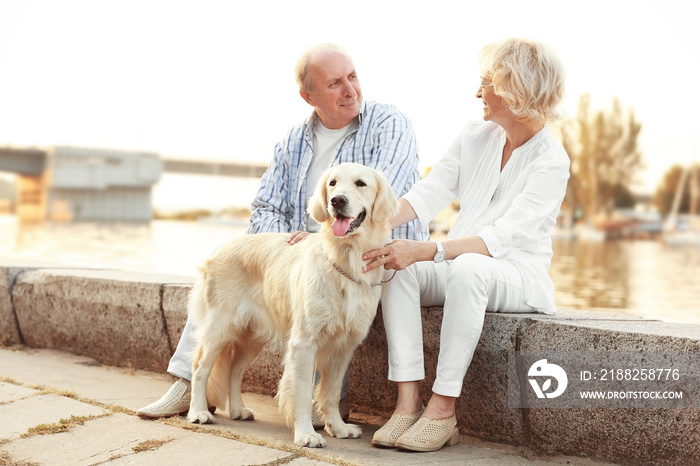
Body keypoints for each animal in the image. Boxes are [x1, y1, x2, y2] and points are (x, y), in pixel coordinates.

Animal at [186, 162, 396, 446]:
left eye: (360, 183)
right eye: (332, 183)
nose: (337, 201)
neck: (345, 257)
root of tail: (222, 248)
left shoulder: (344, 346)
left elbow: (330, 393)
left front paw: (339, 428)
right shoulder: (305, 343)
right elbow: (304, 392)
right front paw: (306, 434)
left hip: (251, 336)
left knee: (233, 371)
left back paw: (238, 409)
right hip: (220, 327)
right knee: (200, 368)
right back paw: (198, 412)